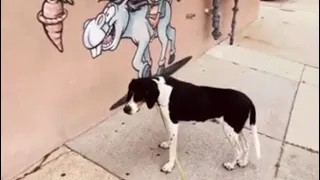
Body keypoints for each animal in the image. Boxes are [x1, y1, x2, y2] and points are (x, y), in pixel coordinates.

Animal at [122, 75, 260, 173]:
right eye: (129, 93)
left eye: (139, 96)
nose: (126, 109)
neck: (161, 89)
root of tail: (249, 101)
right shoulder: (168, 122)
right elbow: (169, 138)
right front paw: (167, 143)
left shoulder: (173, 125)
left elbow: (172, 152)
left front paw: (169, 166)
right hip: (236, 129)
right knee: (246, 146)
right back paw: (243, 163)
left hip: (229, 131)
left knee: (239, 150)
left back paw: (231, 165)